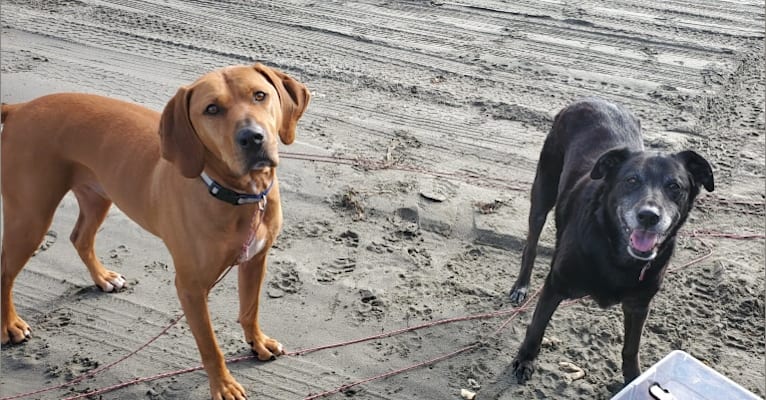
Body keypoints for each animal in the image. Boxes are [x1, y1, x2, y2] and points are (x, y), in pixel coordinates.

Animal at [1, 64, 312, 398]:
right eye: (211, 109)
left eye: (260, 95)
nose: (252, 138)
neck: (240, 195)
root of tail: (19, 108)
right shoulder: (191, 288)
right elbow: (210, 346)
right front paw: (223, 385)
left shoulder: (256, 259)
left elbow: (250, 308)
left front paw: (258, 342)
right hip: (30, 216)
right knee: (6, 270)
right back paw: (9, 325)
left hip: (98, 194)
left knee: (80, 238)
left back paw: (103, 278)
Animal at [510, 97, 712, 384]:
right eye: (631, 180)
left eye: (675, 186)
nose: (649, 216)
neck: (615, 253)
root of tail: (587, 100)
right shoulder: (555, 286)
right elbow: (537, 327)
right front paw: (526, 359)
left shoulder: (639, 306)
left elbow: (631, 348)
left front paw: (634, 379)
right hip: (543, 192)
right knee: (531, 244)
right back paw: (521, 285)